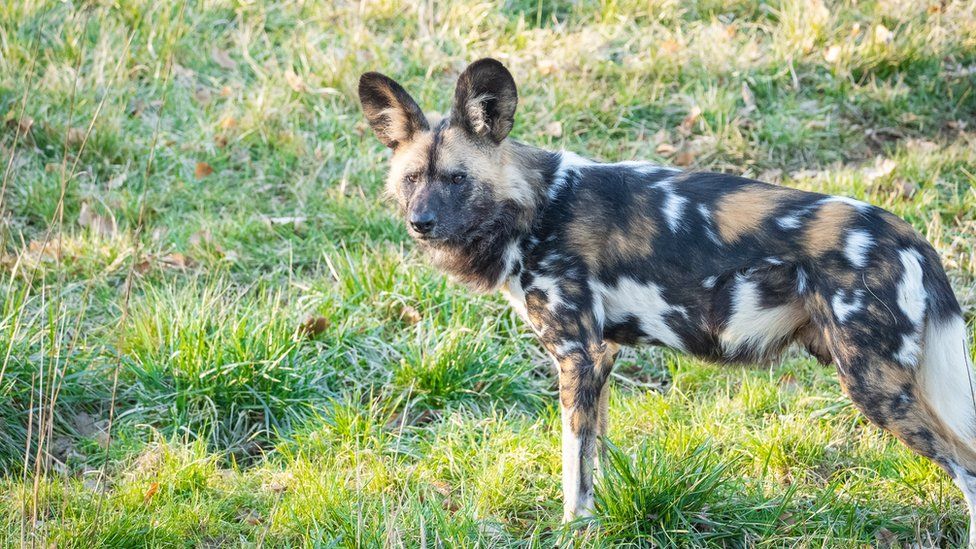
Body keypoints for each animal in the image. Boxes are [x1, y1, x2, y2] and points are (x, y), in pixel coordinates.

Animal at [362, 58, 976, 540]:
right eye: (412, 178)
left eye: (458, 179)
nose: (421, 223)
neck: (534, 208)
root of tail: (909, 235)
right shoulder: (601, 356)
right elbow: (595, 456)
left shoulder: (576, 354)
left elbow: (572, 469)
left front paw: (573, 529)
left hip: (874, 385)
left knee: (965, 468)